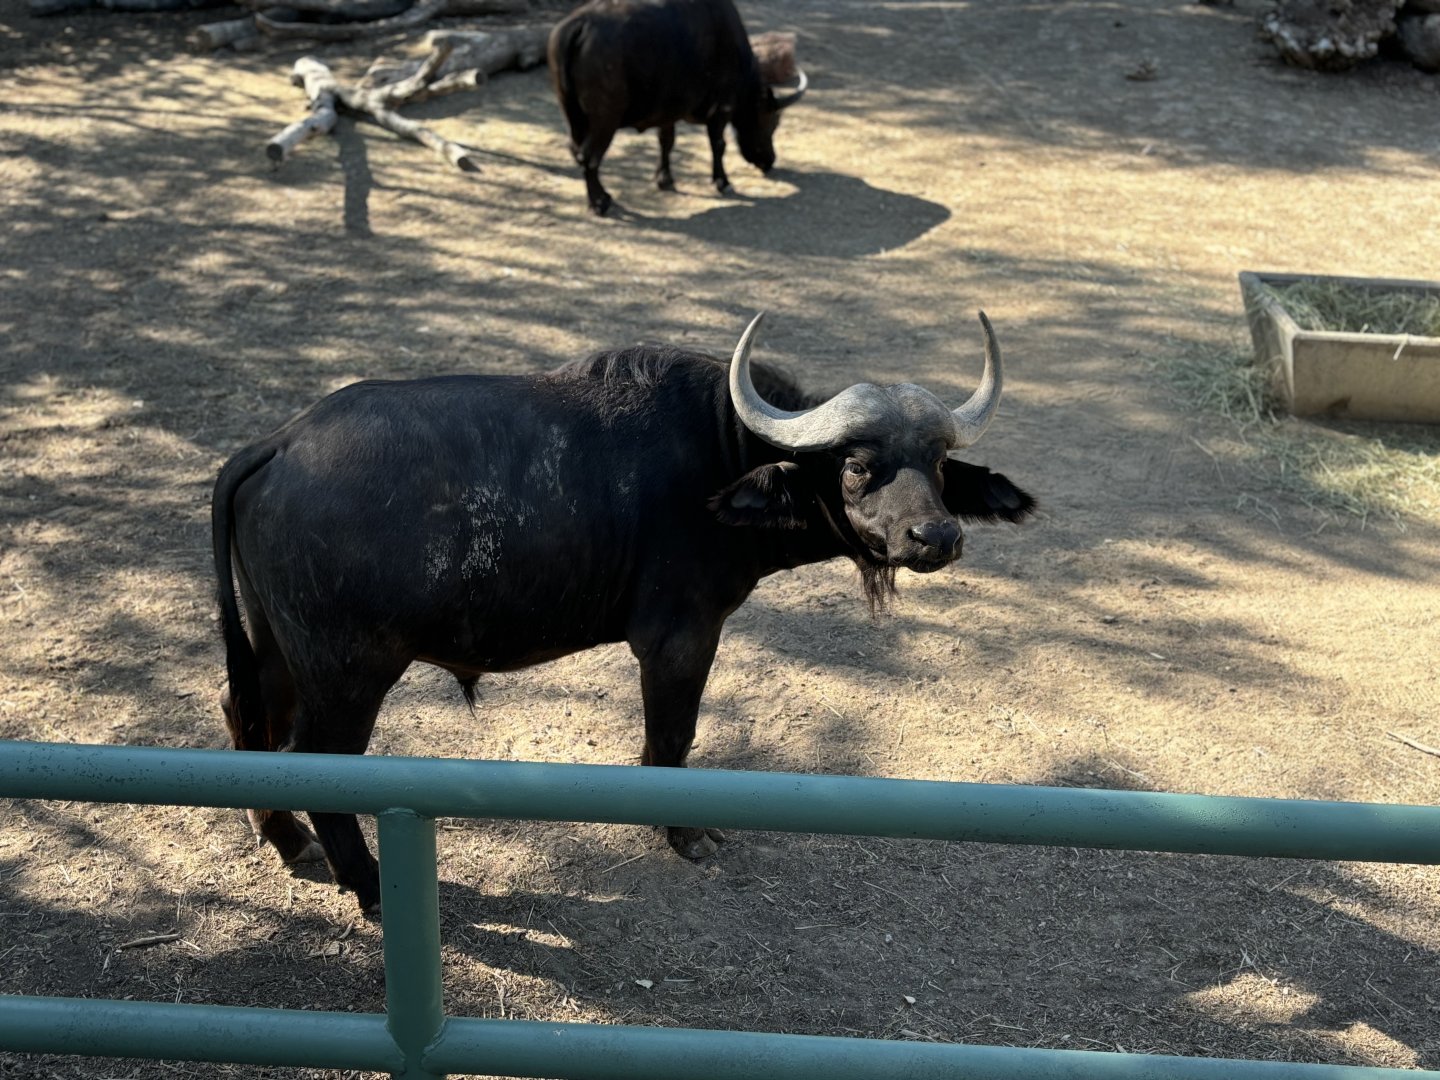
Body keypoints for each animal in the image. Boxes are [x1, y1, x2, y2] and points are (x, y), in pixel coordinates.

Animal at [213, 314, 1035, 911]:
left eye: (936, 463)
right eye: (860, 465)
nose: (937, 537)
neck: (722, 456)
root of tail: (280, 443)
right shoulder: (679, 638)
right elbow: (672, 740)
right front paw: (684, 834)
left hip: (277, 645)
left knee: (245, 711)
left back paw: (285, 839)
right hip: (348, 671)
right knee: (316, 763)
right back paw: (375, 889)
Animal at [548, 0, 808, 215]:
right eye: (771, 121)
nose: (770, 160)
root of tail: (580, 25)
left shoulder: (667, 113)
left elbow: (666, 141)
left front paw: (665, 179)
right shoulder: (722, 108)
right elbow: (718, 145)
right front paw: (723, 182)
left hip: (573, 115)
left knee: (576, 151)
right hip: (605, 119)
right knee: (589, 156)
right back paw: (599, 202)